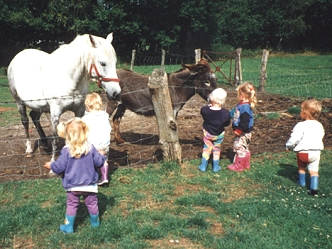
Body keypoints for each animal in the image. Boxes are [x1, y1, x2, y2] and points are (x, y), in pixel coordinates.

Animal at [7, 32, 120, 161]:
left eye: (115, 63)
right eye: (102, 63)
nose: (116, 93)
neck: (68, 78)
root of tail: (18, 56)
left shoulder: (79, 110)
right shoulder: (55, 112)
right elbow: (55, 138)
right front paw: (53, 161)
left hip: (39, 105)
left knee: (34, 116)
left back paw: (44, 145)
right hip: (19, 101)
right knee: (25, 121)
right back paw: (29, 150)